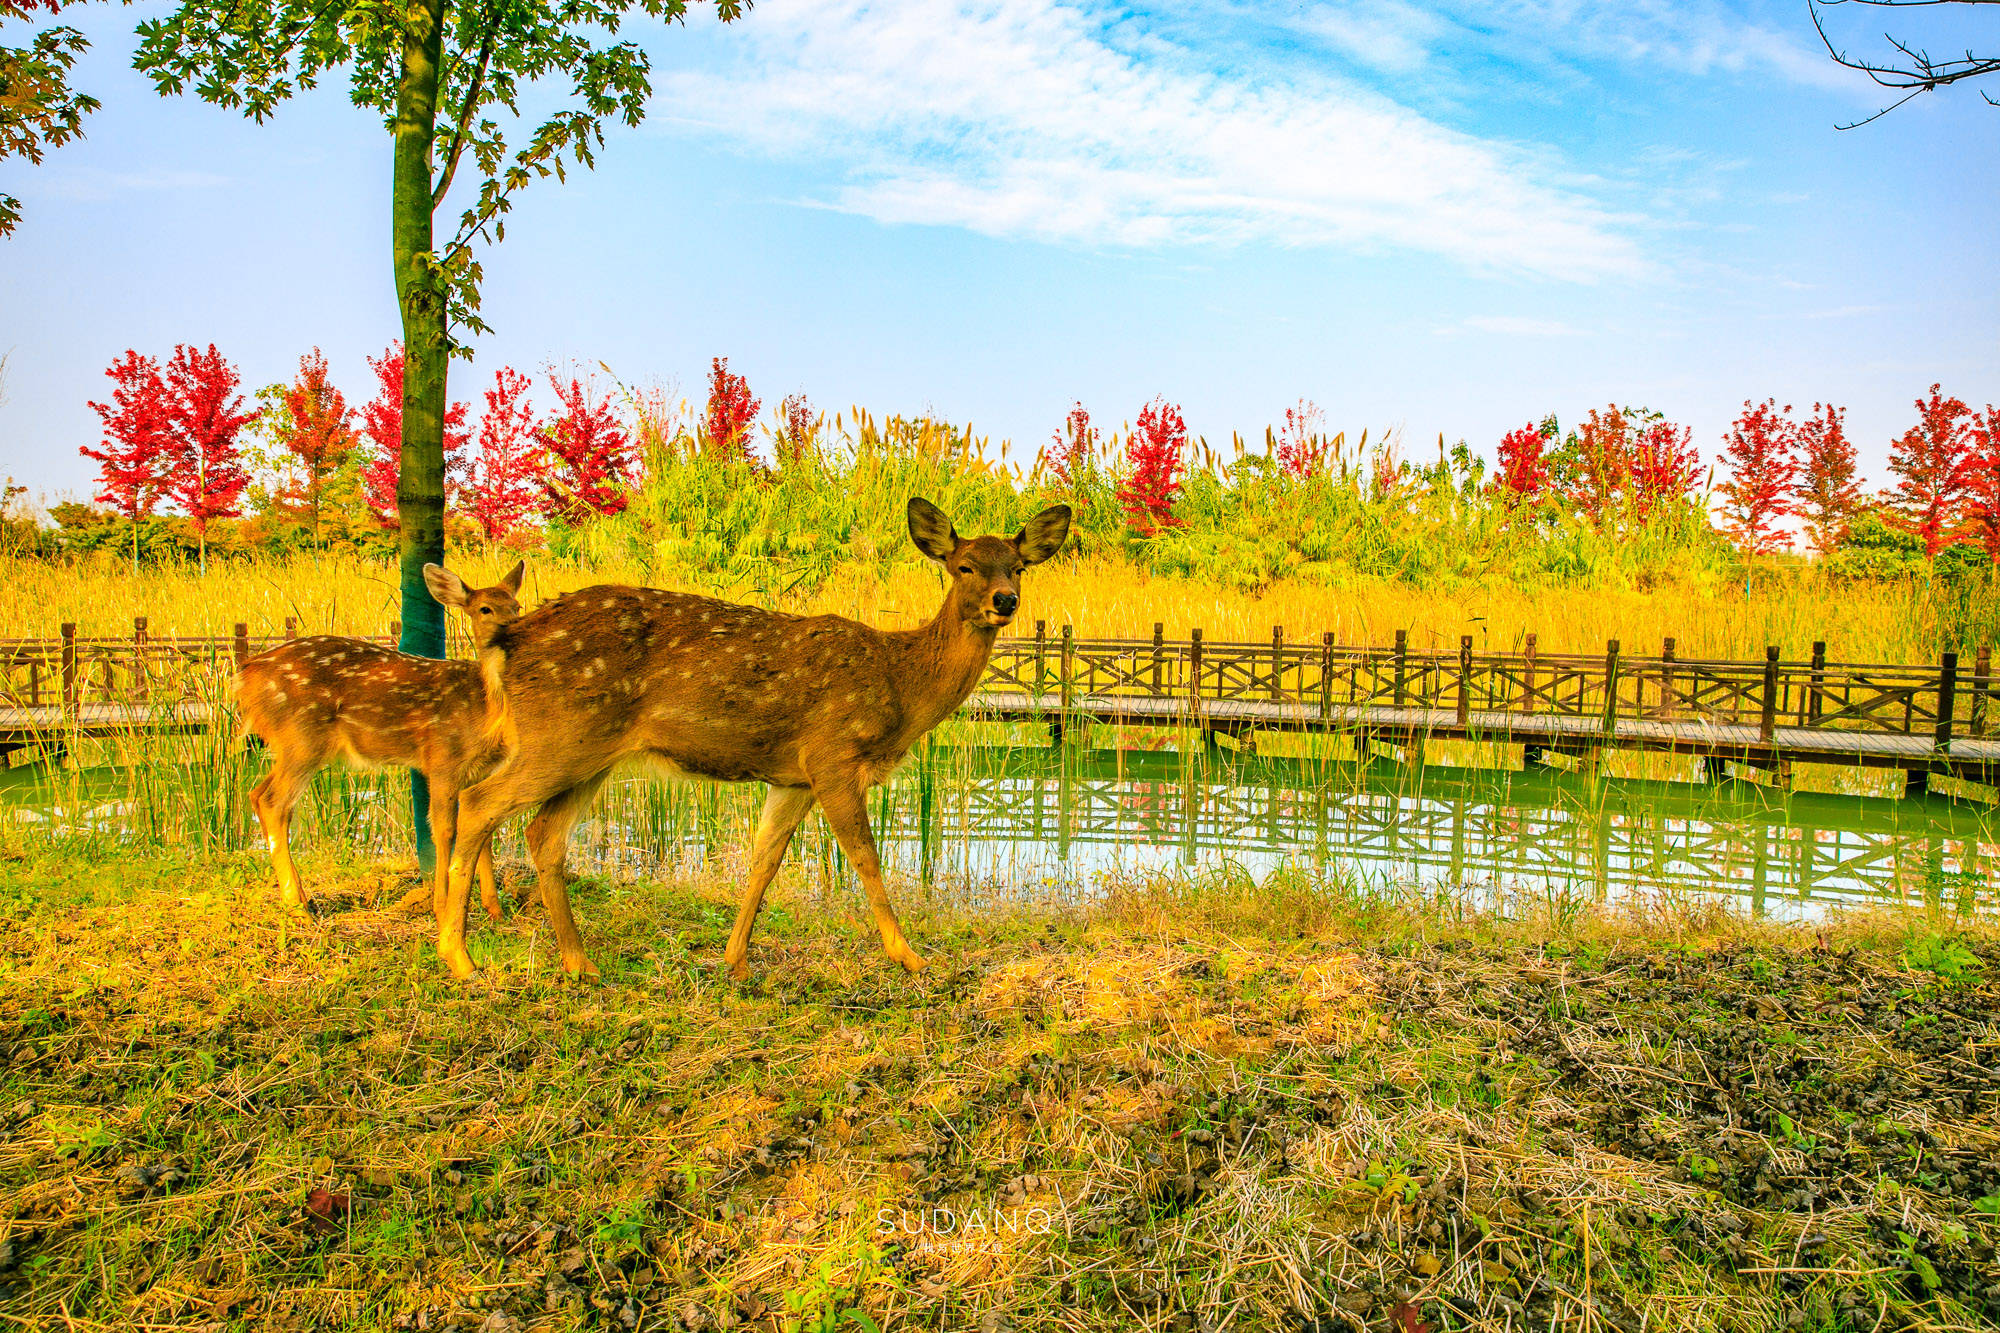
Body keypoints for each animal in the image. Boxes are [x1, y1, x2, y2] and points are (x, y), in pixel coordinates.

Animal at [236, 556, 524, 912]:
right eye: (485, 609)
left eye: (516, 605)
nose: (514, 629)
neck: (484, 710)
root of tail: (242, 676)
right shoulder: (442, 758)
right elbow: (444, 829)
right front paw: (441, 904)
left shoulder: (479, 770)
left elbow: (483, 832)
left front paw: (493, 908)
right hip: (301, 736)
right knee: (274, 802)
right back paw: (297, 904)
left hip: (288, 744)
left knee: (256, 793)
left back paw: (301, 895)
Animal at [432, 496, 1072, 976]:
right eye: (964, 566)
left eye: (1018, 566)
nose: (1005, 600)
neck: (900, 683)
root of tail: (507, 640)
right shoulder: (833, 755)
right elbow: (866, 858)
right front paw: (909, 956)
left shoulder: (793, 778)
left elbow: (764, 861)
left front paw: (734, 960)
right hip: (558, 737)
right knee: (478, 801)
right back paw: (459, 957)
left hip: (590, 755)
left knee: (543, 834)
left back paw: (579, 963)